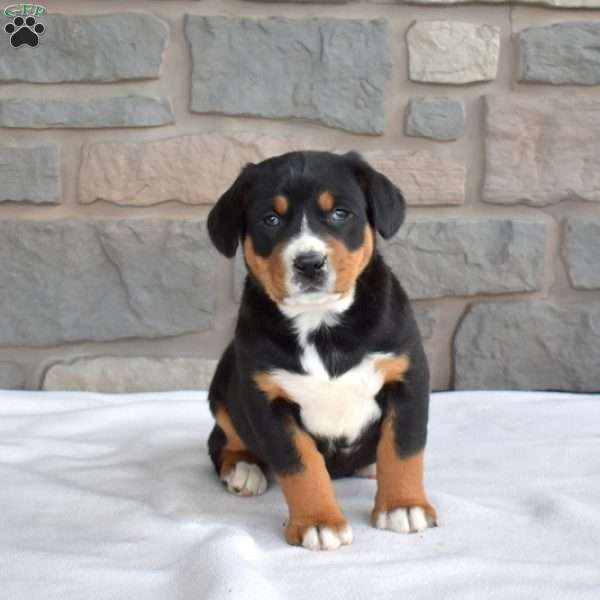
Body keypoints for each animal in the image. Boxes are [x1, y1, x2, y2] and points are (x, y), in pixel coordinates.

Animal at [206, 149, 436, 548]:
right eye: (270, 219)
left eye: (340, 213)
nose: (309, 262)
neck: (321, 325)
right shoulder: (266, 399)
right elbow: (301, 466)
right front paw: (318, 522)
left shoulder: (406, 375)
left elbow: (402, 448)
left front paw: (403, 506)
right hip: (222, 380)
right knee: (222, 439)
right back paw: (244, 468)